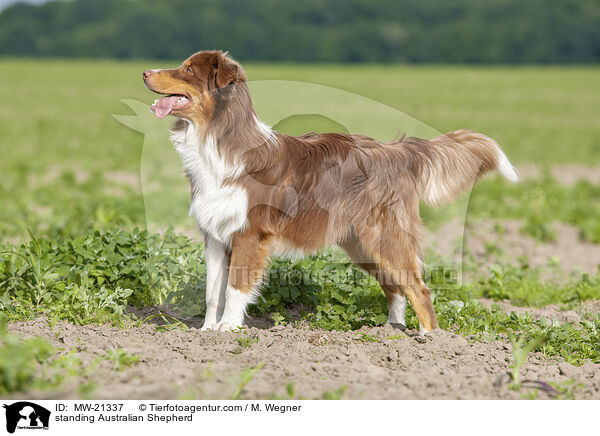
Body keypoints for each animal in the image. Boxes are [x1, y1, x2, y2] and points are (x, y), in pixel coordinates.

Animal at [143, 49, 516, 332]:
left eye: (188, 70)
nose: (145, 72)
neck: (214, 141)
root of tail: (397, 150)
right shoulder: (215, 236)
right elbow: (212, 292)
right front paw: (207, 331)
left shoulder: (249, 234)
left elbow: (236, 288)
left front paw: (227, 330)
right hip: (361, 244)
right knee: (396, 287)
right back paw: (392, 331)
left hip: (384, 238)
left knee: (419, 289)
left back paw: (432, 340)